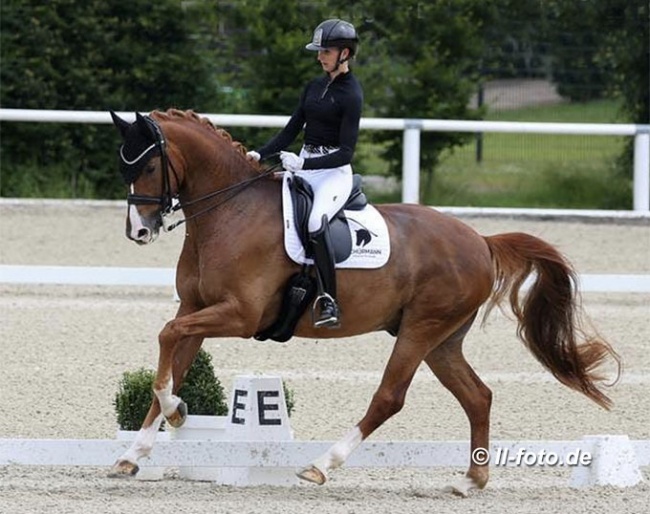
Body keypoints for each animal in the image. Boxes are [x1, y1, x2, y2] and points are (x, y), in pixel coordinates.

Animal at [107, 107, 616, 492]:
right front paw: (138, 448)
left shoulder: (239, 315)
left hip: (421, 330)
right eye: (125, 168)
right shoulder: (194, 309)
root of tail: (480, 240)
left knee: (390, 397)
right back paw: (471, 481)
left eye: (148, 167)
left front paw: (175, 412)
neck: (231, 211)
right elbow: (172, 361)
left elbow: (166, 338)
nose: (138, 232)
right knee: (478, 396)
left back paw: (321, 465)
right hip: (442, 340)